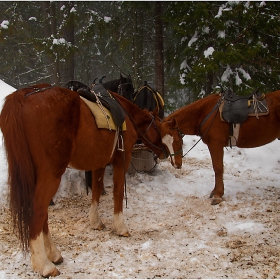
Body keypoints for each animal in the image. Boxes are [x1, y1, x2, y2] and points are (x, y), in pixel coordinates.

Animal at [0, 84, 183, 276]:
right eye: (175, 136)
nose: (171, 157)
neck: (127, 116)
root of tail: (24, 95)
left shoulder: (99, 163)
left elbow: (96, 189)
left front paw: (96, 222)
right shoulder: (121, 160)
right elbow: (118, 192)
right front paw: (120, 226)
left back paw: (53, 253)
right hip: (51, 174)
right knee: (39, 211)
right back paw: (43, 264)